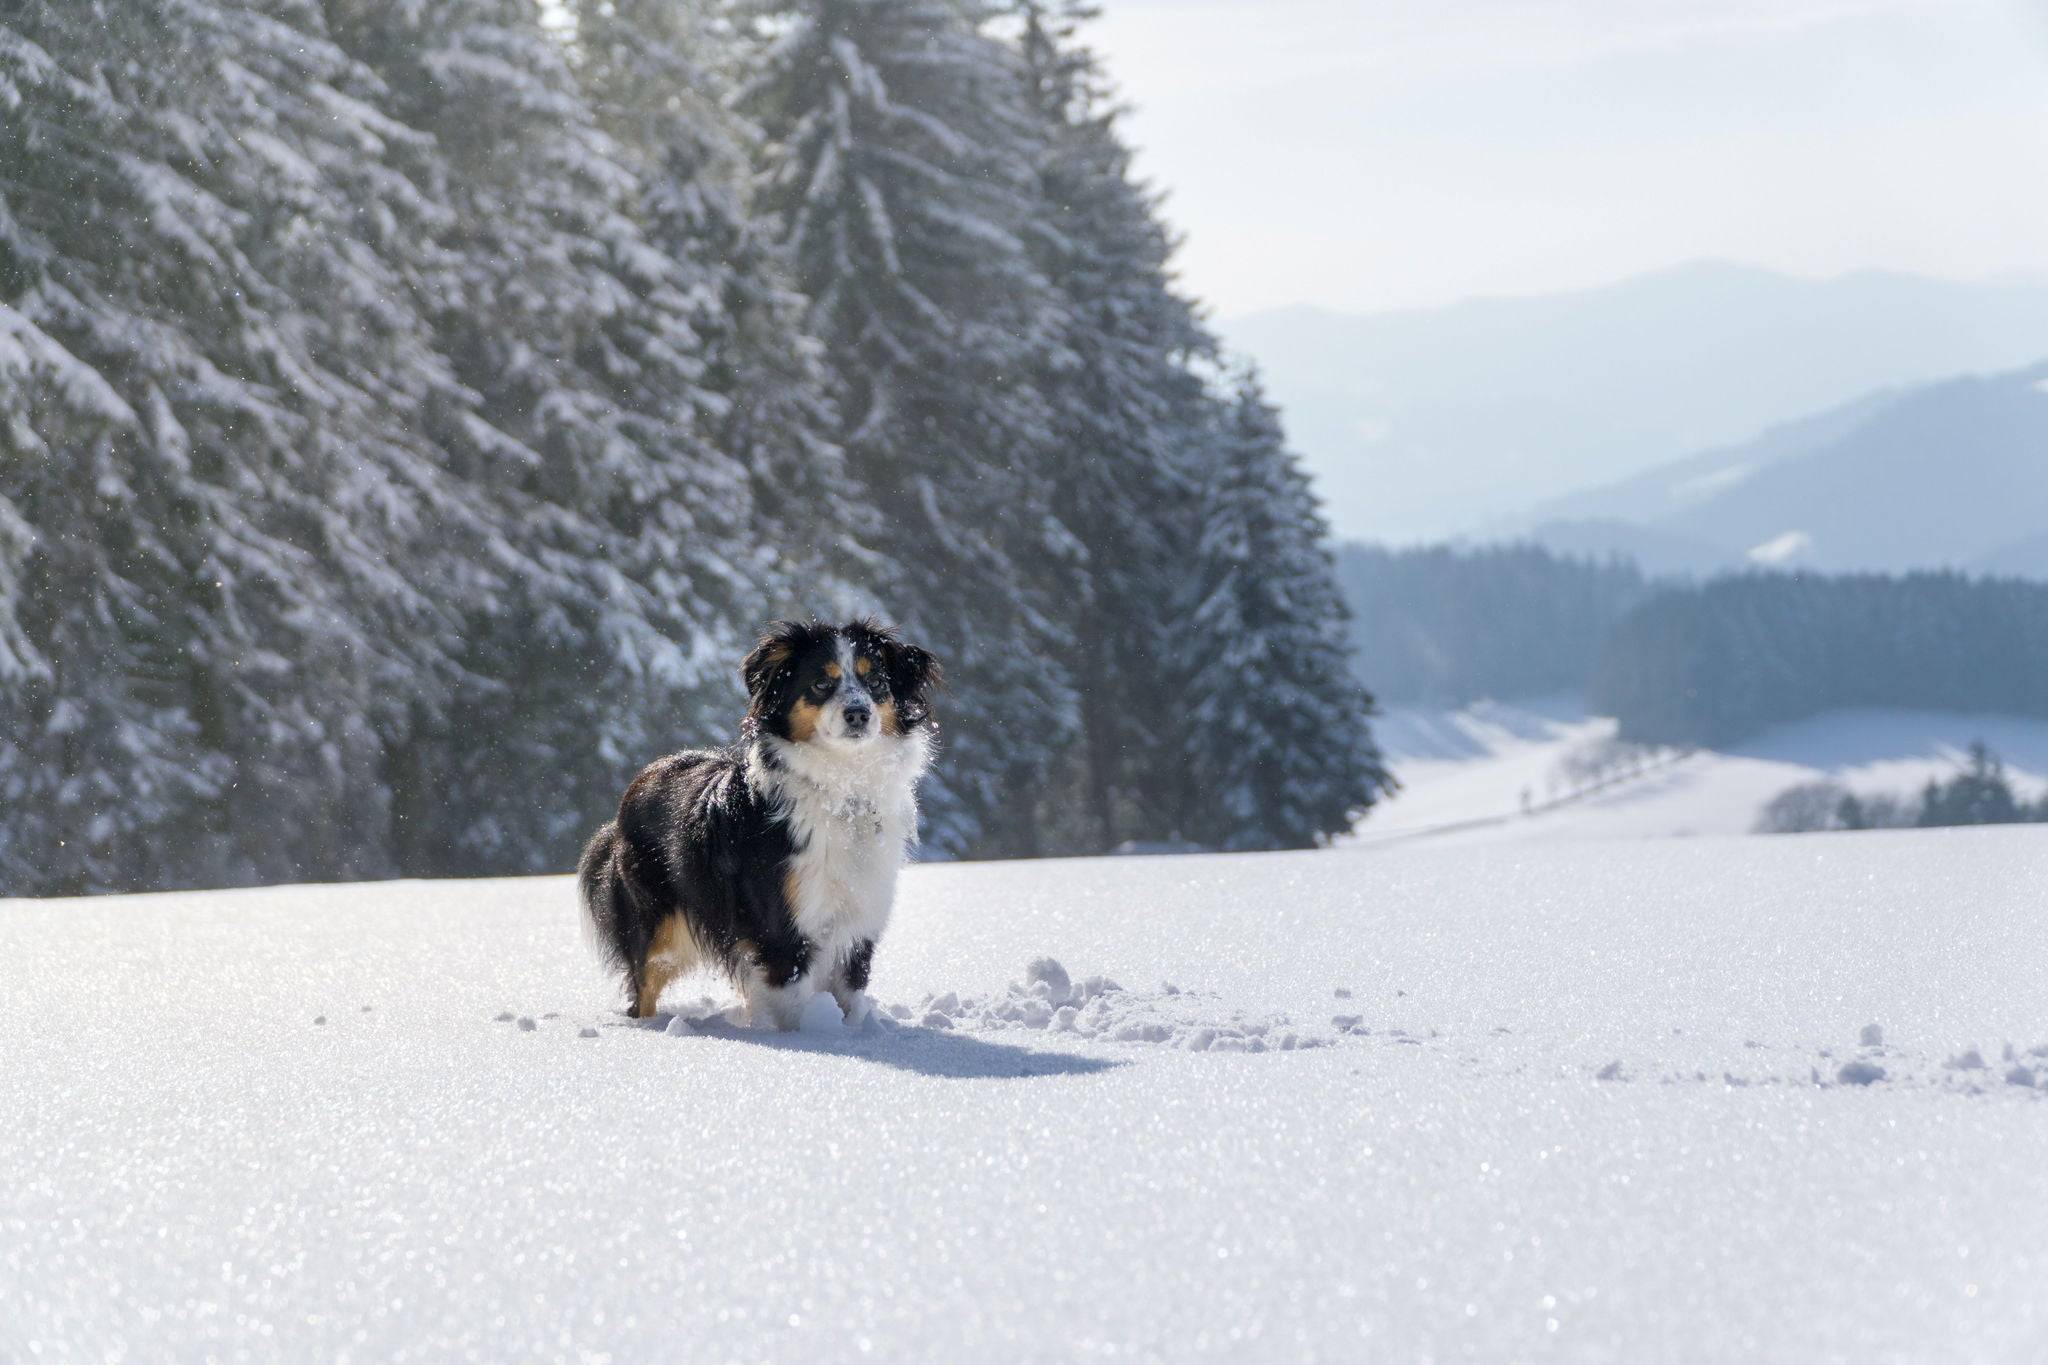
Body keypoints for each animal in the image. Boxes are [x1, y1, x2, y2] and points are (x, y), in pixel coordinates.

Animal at [581, 618, 937, 1023]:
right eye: (821, 683)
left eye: (876, 681)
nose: (859, 714)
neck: (840, 788)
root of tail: (639, 782)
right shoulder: (781, 931)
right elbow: (793, 1008)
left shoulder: (857, 924)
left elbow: (852, 1001)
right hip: (658, 930)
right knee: (644, 988)